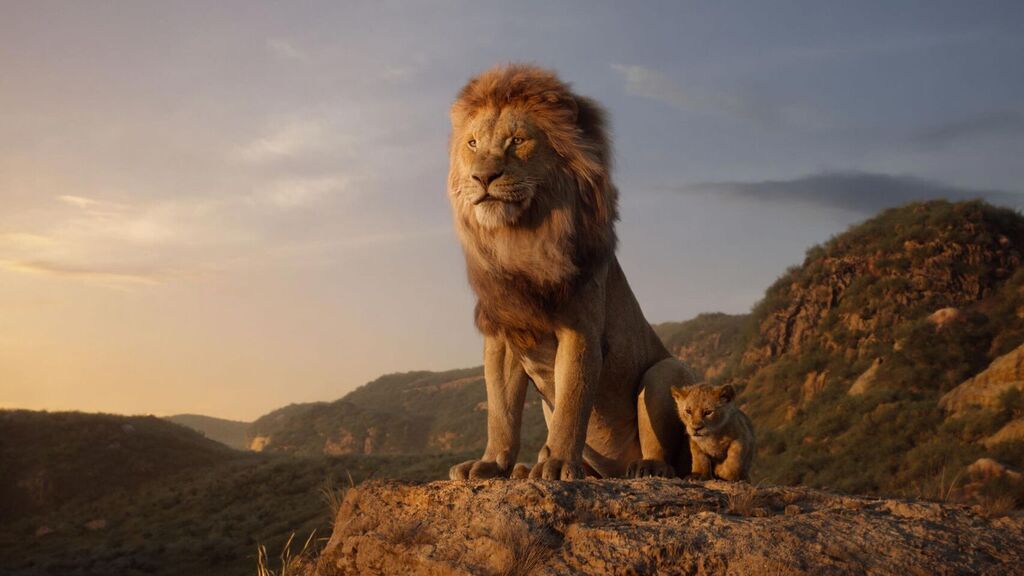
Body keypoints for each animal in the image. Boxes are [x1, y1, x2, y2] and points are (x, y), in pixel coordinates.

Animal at [445, 64, 695, 481]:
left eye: (517, 140)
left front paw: (560, 463)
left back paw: (645, 467)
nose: (483, 177)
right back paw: (526, 468)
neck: (520, 239)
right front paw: (491, 463)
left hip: (666, 371)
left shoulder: (580, 329)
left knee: (667, 454)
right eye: (473, 144)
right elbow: (500, 412)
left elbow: (572, 403)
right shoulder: (503, 335)